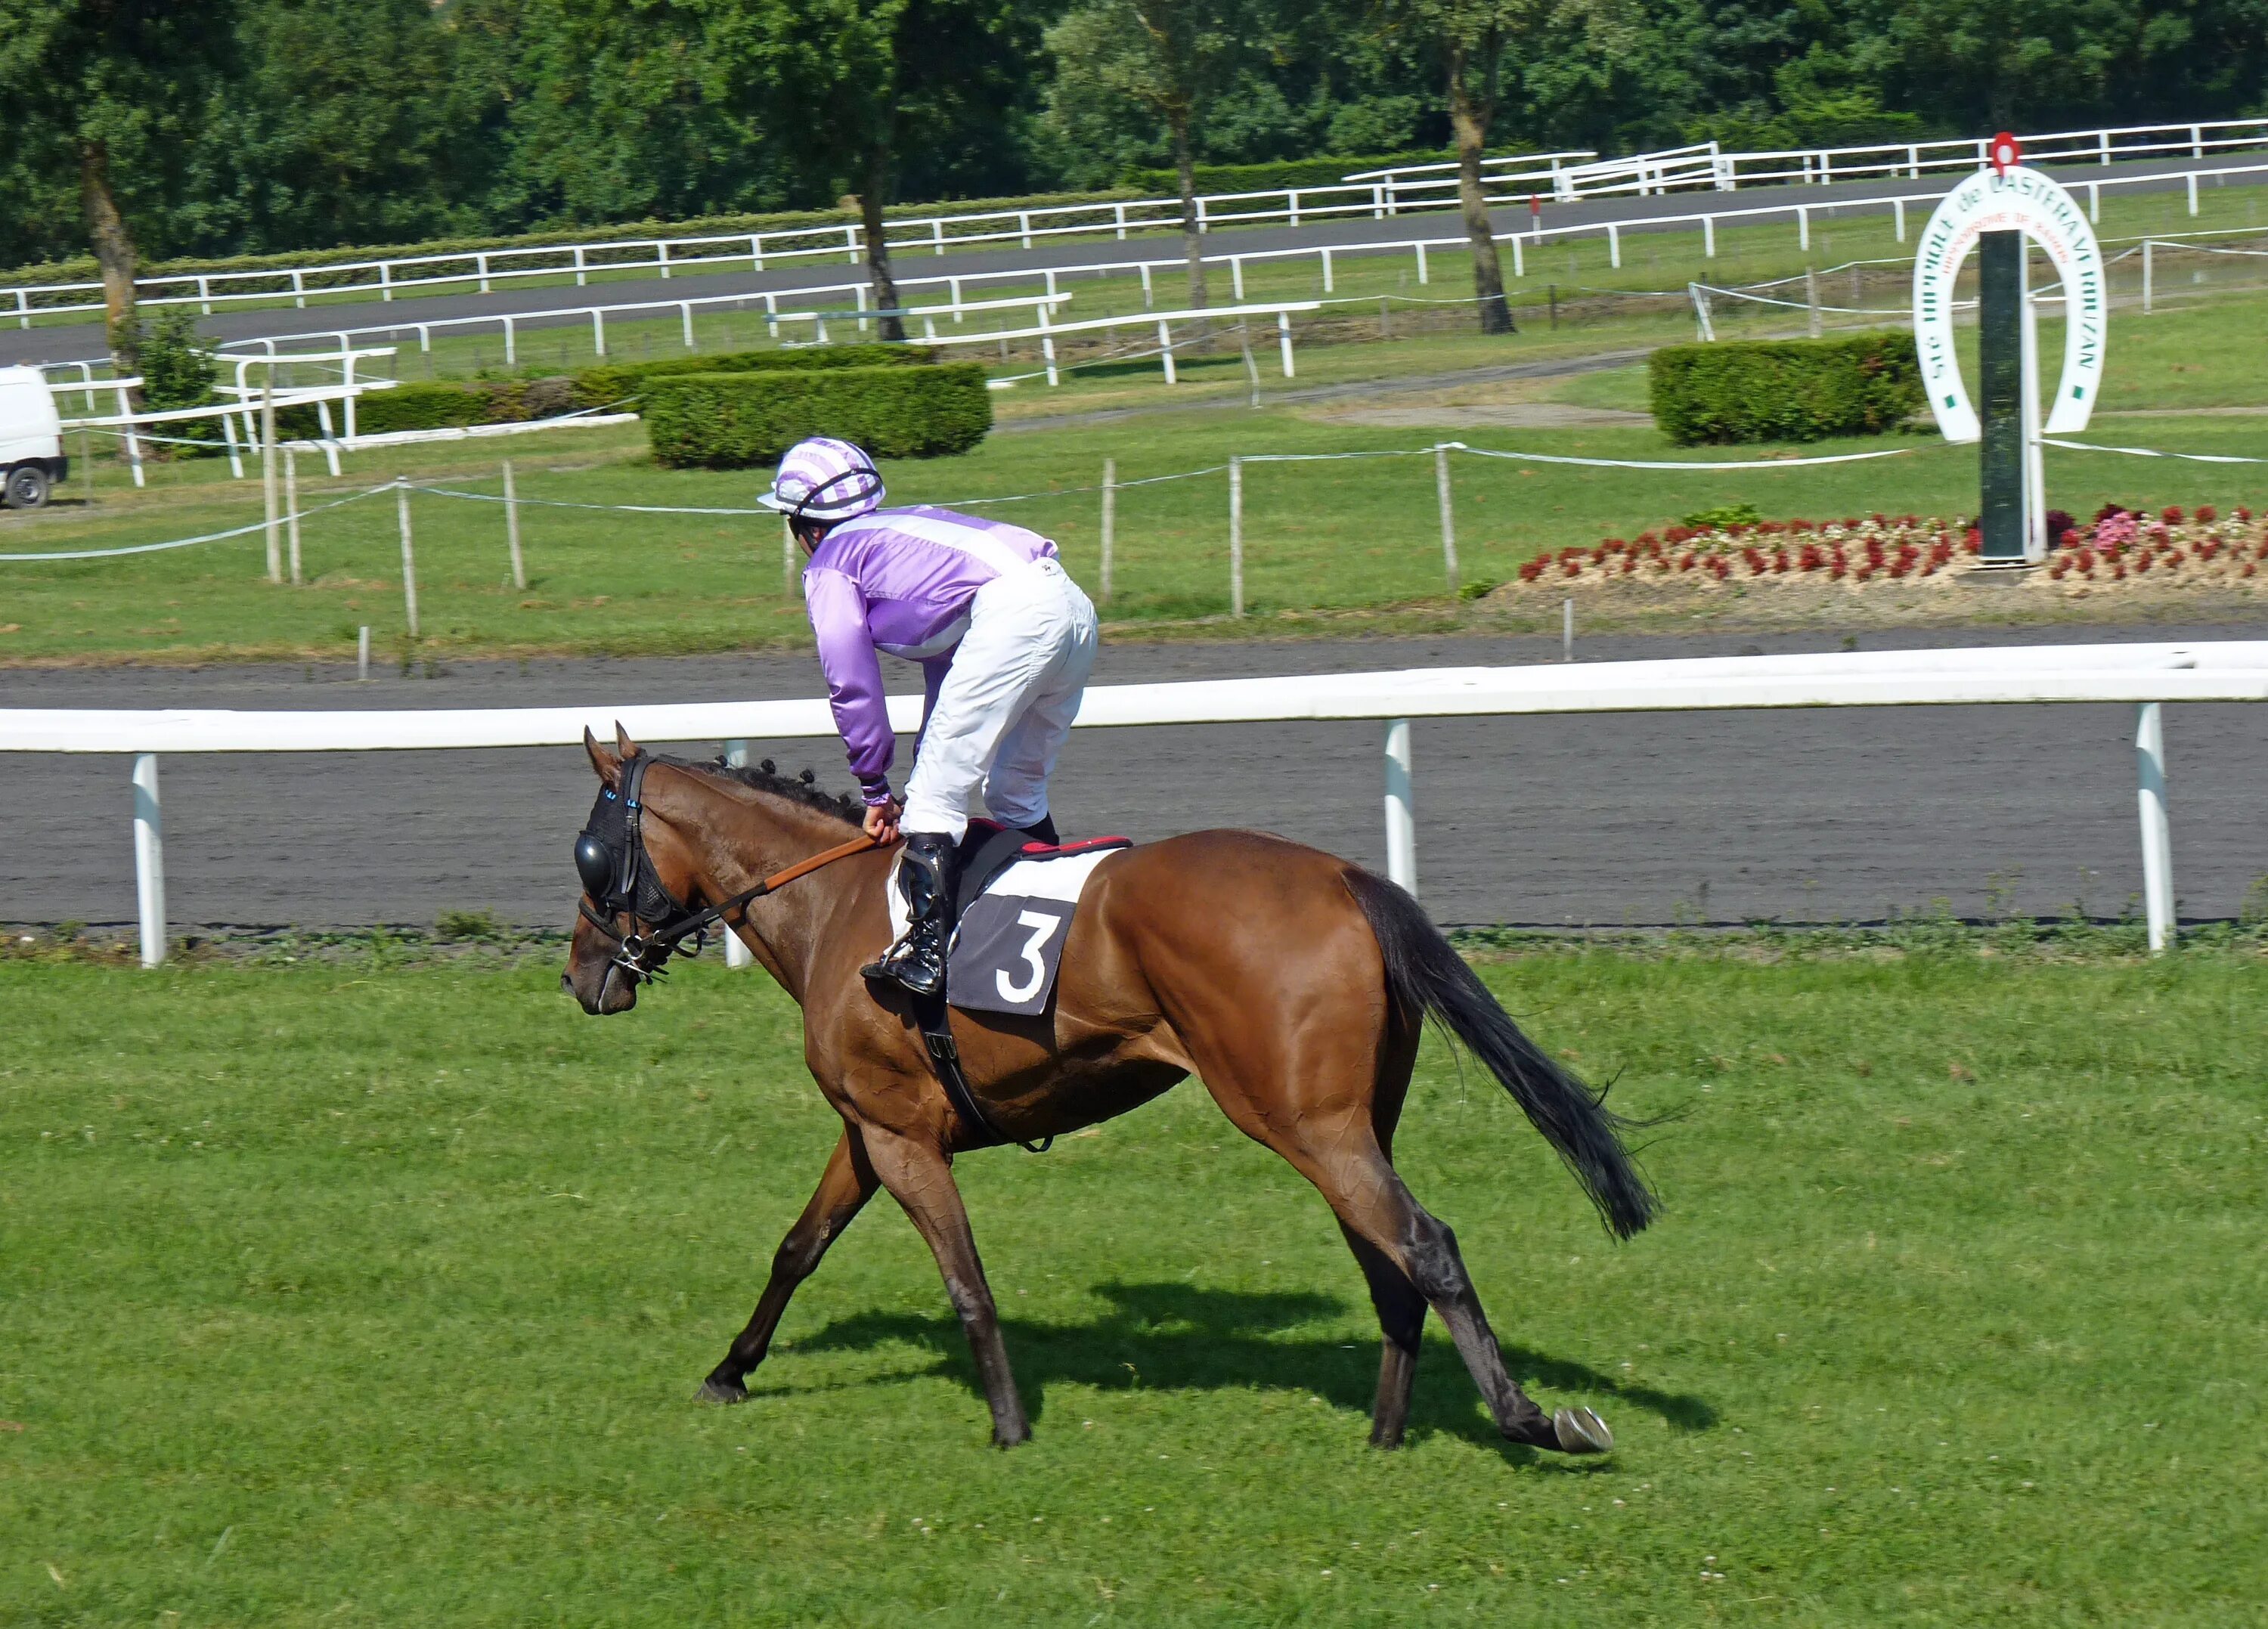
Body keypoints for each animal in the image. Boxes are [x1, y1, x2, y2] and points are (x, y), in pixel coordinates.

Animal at [562, 726, 1669, 1451]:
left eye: (588, 853)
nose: (582, 977)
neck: (838, 907)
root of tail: (1347, 877)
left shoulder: (901, 1136)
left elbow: (965, 1278)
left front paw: (1010, 1425)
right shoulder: (871, 1127)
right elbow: (798, 1247)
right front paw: (729, 1369)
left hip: (1304, 1121)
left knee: (1426, 1243)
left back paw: (1529, 1417)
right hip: (1347, 1123)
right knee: (1388, 1259)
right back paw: (1386, 1434)